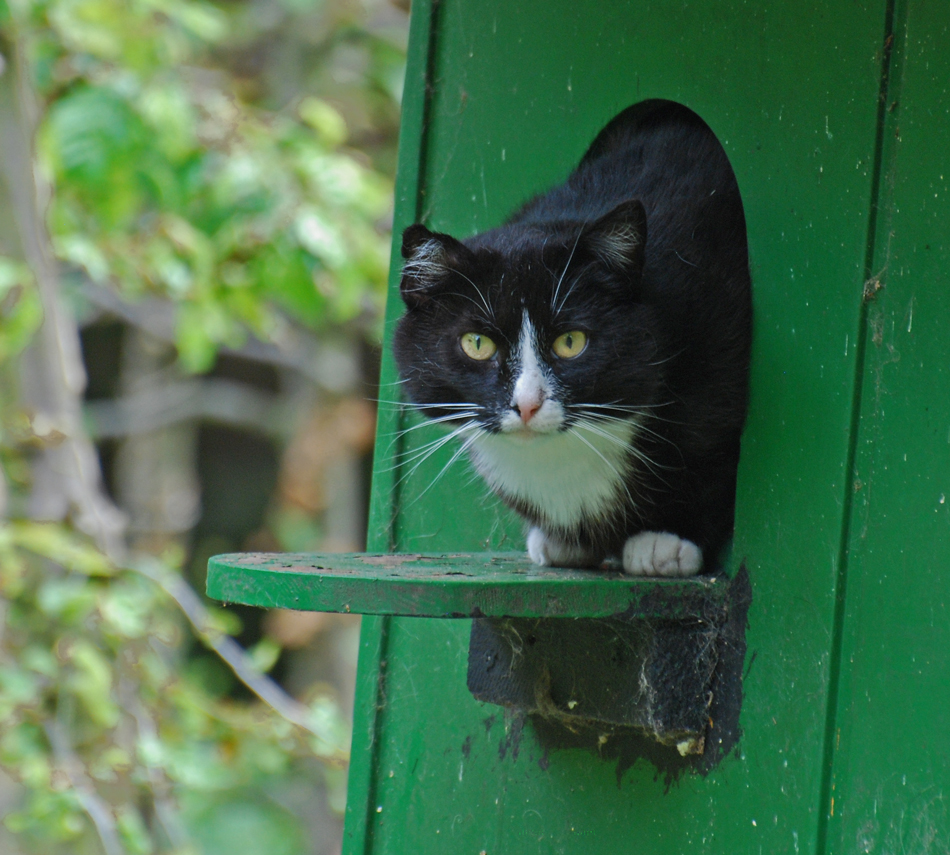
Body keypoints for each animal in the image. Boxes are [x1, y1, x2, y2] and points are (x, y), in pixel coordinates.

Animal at [392, 102, 752, 580]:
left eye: (570, 341)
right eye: (476, 344)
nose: (526, 405)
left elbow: (711, 458)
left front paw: (666, 540)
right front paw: (564, 540)